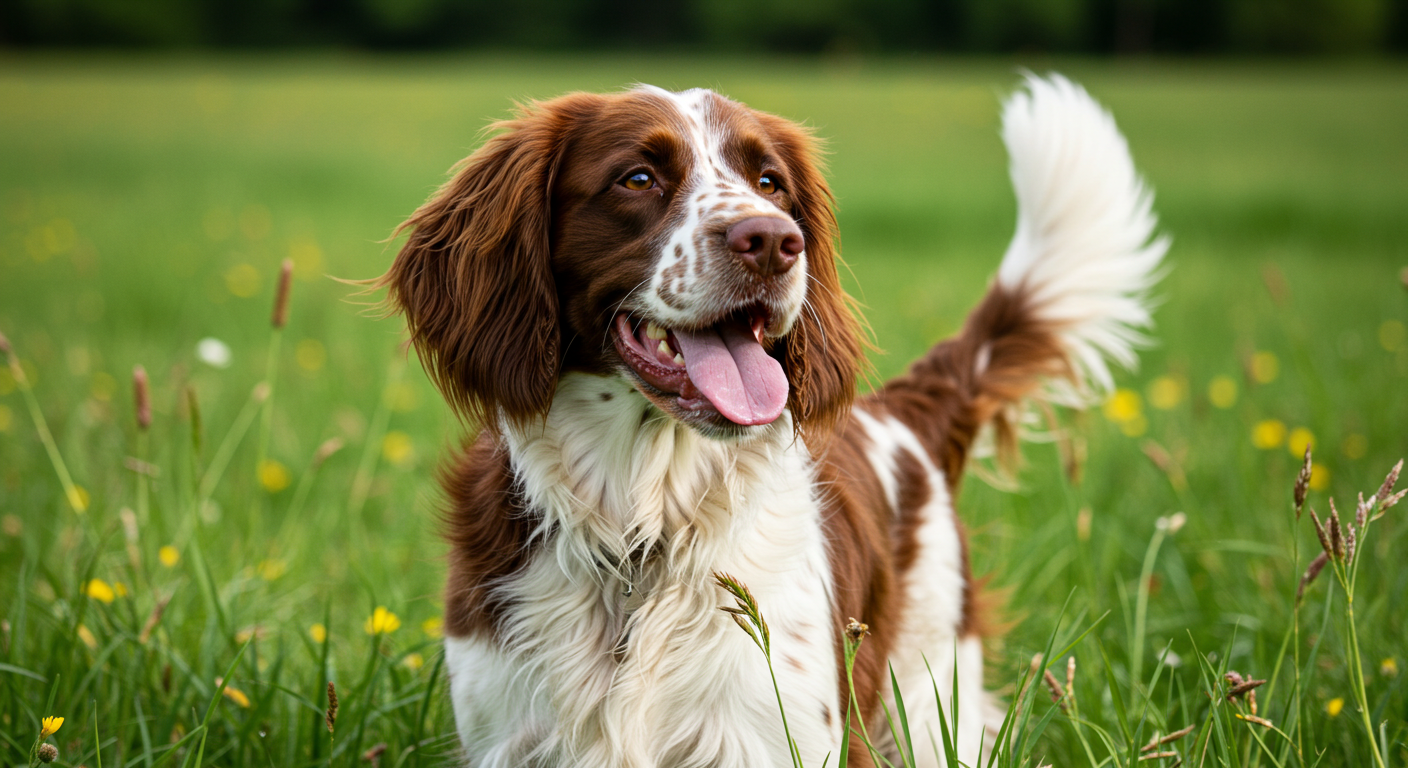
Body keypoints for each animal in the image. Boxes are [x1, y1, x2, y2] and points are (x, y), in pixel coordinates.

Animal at [377, 73, 1165, 766]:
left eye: (769, 182)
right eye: (637, 179)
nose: (774, 240)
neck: (642, 536)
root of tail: (899, 415)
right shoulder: (508, 732)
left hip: (934, 702)